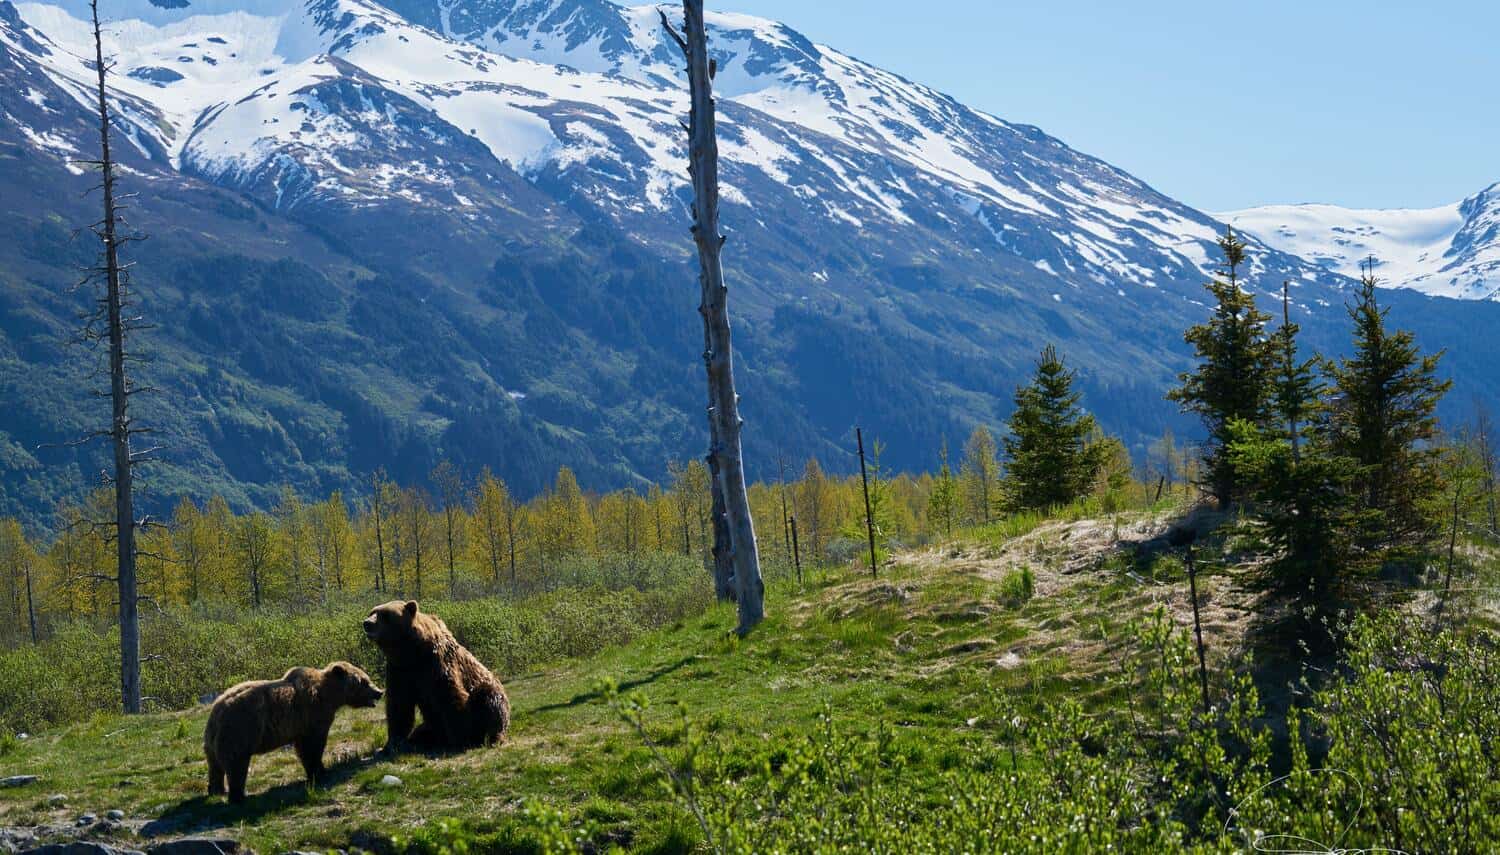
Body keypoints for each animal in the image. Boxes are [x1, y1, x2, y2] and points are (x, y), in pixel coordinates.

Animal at [202, 660, 384, 798]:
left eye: (366, 677)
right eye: (364, 681)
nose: (379, 692)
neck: (330, 696)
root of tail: (216, 711)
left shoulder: (302, 725)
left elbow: (304, 749)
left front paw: (316, 771)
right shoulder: (312, 715)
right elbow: (313, 746)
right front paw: (320, 771)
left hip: (213, 741)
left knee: (215, 765)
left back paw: (217, 790)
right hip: (239, 731)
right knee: (236, 764)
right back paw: (238, 795)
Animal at [361, 600, 510, 753]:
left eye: (385, 614)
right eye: (372, 612)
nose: (367, 623)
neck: (411, 652)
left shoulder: (437, 663)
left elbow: (449, 695)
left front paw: (462, 739)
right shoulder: (399, 670)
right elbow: (399, 704)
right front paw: (392, 744)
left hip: (488, 694)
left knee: (489, 700)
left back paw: (490, 737)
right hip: (431, 724)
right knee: (422, 731)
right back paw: (419, 740)